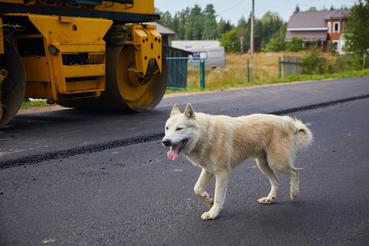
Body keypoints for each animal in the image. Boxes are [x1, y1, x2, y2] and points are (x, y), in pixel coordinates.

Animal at [161, 103, 310, 220]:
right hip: (263, 165)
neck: (205, 134)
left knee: (295, 171)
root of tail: (286, 121)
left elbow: (218, 197)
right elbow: (197, 188)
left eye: (179, 128)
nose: (165, 142)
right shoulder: (208, 170)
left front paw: (213, 213)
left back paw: (294, 193)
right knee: (276, 181)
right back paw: (270, 198)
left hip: (277, 163)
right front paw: (208, 201)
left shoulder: (222, 173)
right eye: (167, 128)